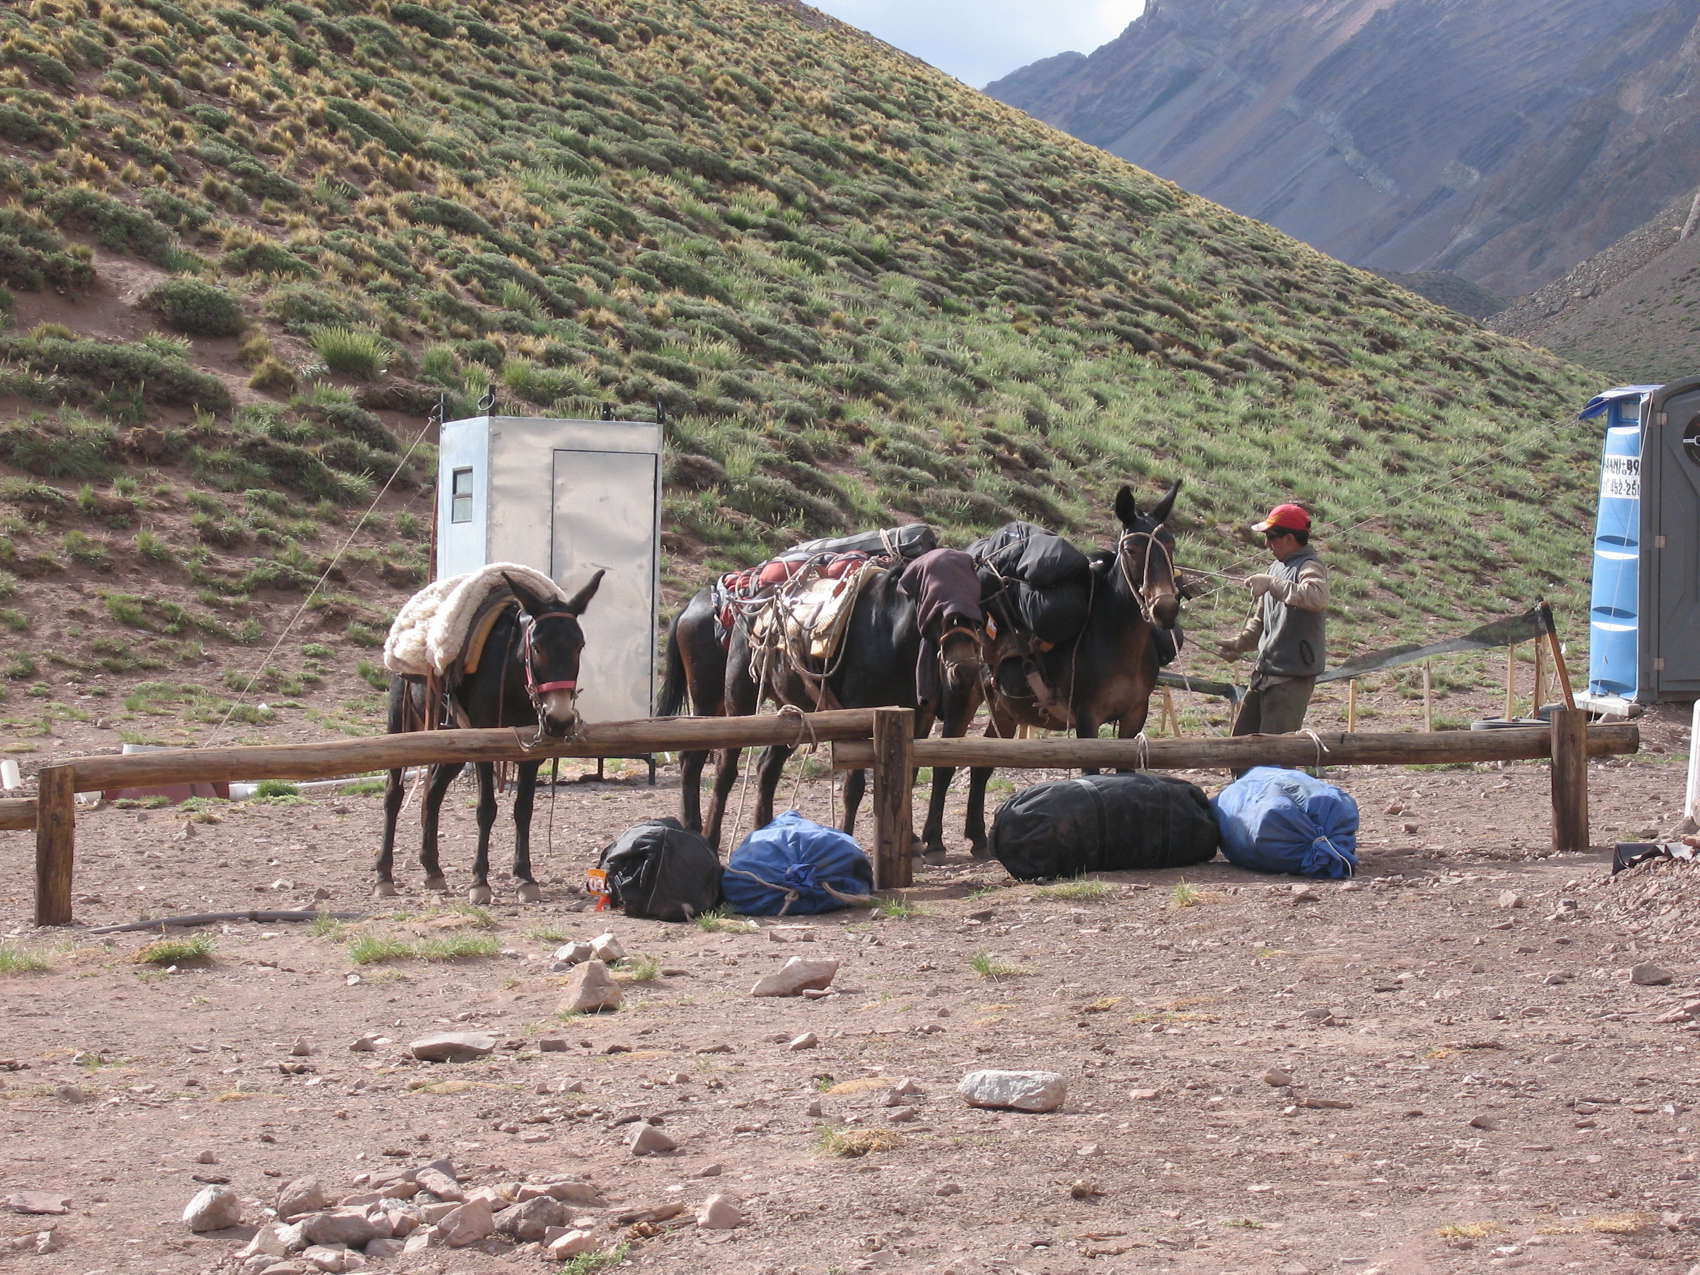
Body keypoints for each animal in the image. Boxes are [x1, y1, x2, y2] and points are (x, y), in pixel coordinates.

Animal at [376, 569, 604, 902]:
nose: (559, 720)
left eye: (580, 645)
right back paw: (384, 875)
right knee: (394, 795)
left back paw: (433, 870)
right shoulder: (484, 747)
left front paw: (525, 878)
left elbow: (523, 809)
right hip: (401, 725)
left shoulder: (533, 749)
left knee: (433, 791)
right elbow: (486, 809)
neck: (512, 675)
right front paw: (480, 882)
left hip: (453, 743)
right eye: (537, 646)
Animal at [658, 552, 984, 861]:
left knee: (766, 767)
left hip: (791, 712)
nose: (967, 668)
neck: (890, 633)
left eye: (978, 610)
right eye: (939, 610)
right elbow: (854, 787)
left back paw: (763, 833)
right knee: (719, 767)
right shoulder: (861, 717)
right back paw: (708, 837)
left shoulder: (915, 717)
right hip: (731, 700)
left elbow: (908, 775)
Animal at [962, 482, 1183, 855]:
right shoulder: (1086, 718)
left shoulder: (1134, 715)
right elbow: (1092, 771)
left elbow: (1125, 775)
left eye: (1170, 546)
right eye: (1132, 550)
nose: (1165, 609)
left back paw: (977, 837)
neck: (1115, 639)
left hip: (1005, 711)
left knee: (984, 763)